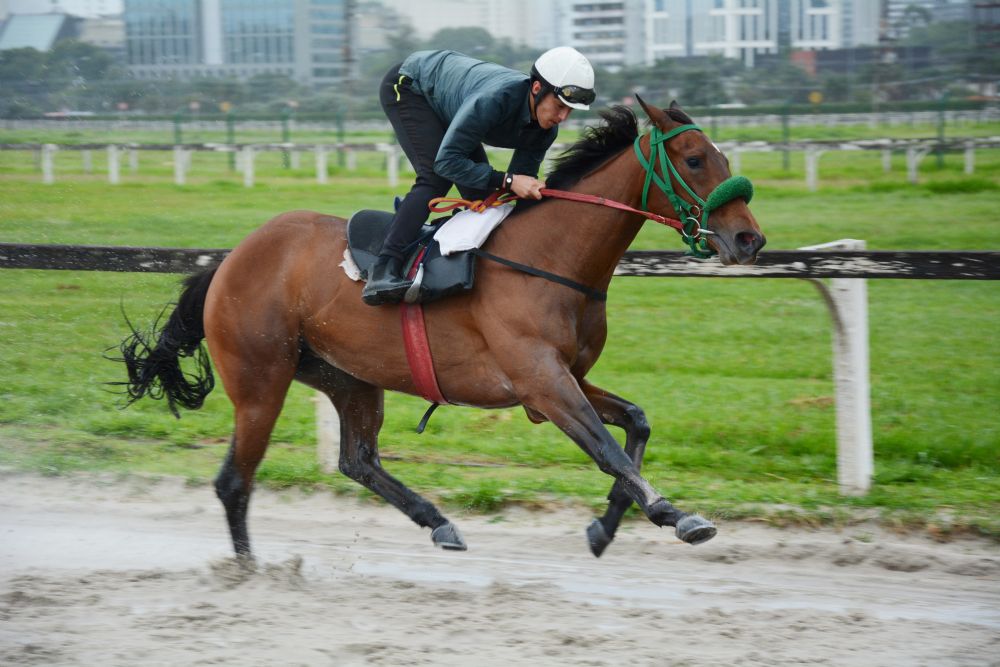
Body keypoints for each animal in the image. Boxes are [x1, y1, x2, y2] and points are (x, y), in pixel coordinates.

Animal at [117, 98, 765, 561]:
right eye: (694, 160)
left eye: (724, 158)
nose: (749, 239)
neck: (548, 258)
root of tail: (229, 261)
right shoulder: (542, 384)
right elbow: (608, 450)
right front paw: (676, 514)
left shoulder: (566, 378)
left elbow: (635, 422)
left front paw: (605, 527)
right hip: (260, 380)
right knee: (235, 481)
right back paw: (249, 571)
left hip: (347, 375)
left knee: (358, 461)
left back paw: (439, 523)